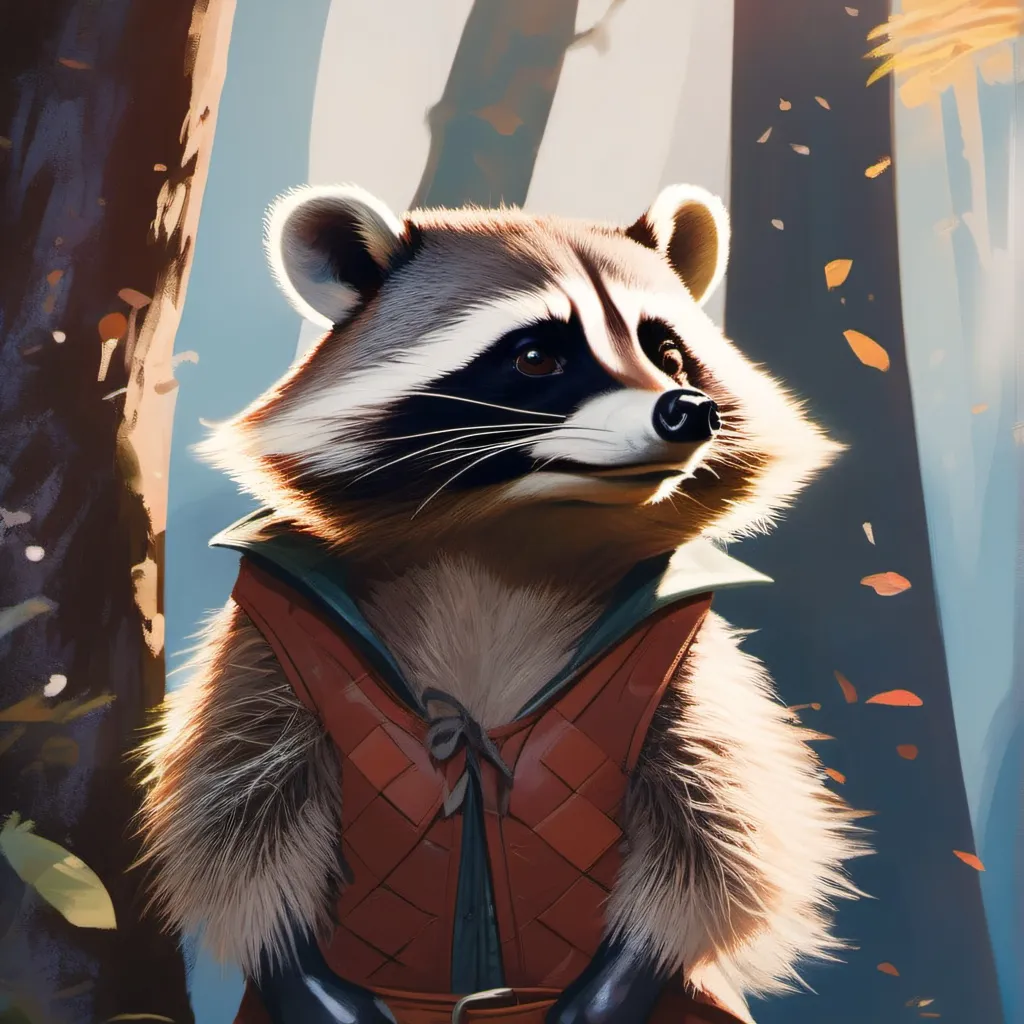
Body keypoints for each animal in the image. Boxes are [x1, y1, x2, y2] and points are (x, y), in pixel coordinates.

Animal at [138, 183, 868, 1024]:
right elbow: (234, 807)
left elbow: (721, 820)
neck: (511, 534)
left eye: (668, 353)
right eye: (537, 356)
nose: (686, 408)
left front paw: (625, 974)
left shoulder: (685, 668)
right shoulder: (272, 634)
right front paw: (298, 965)